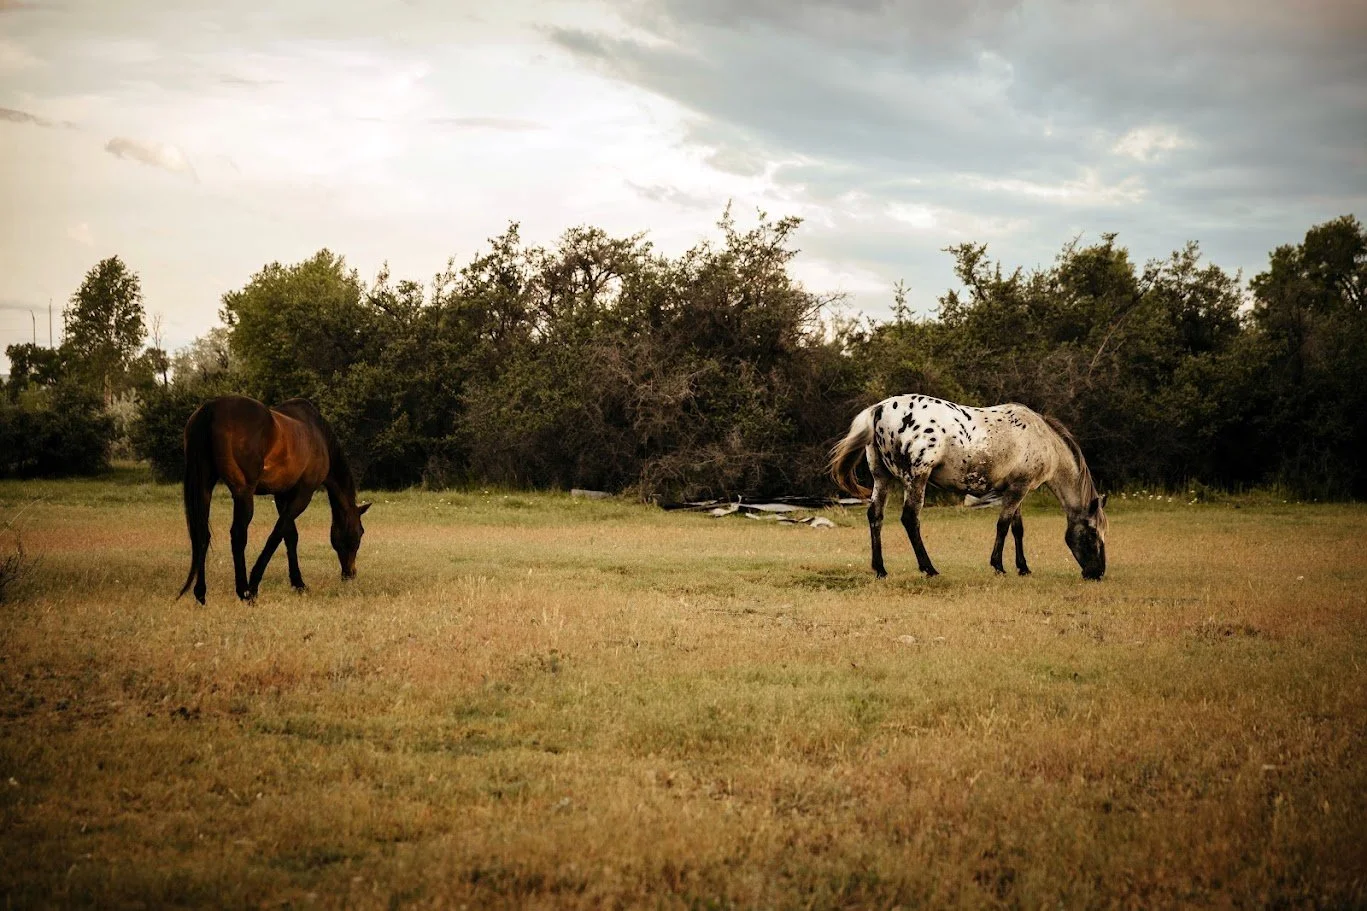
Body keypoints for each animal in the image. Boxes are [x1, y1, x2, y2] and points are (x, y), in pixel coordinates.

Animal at [176, 395, 371, 604]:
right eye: (360, 532)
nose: (350, 573)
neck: (318, 436)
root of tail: (211, 409)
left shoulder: (281, 495)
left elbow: (290, 536)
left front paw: (298, 583)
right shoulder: (303, 494)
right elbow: (276, 535)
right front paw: (254, 585)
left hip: (204, 487)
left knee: (202, 534)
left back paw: (201, 593)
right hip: (243, 494)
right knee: (238, 535)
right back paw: (244, 591)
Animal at [828, 394, 1108, 580]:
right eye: (1093, 533)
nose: (1097, 573)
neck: (1042, 438)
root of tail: (880, 408)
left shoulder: (1014, 489)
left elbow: (1017, 528)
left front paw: (1023, 567)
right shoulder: (1019, 488)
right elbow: (1003, 526)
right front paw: (998, 565)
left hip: (882, 478)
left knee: (875, 516)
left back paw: (881, 569)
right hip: (916, 478)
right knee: (910, 519)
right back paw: (929, 568)